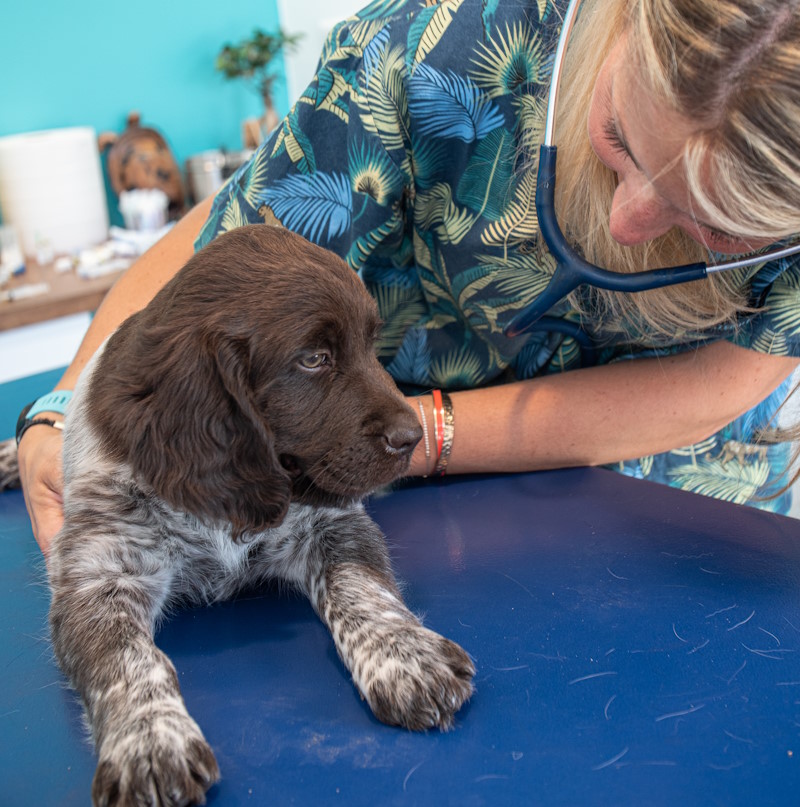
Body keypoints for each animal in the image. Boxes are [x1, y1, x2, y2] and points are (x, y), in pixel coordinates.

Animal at [4, 227, 476, 807]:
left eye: (371, 345)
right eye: (314, 359)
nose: (413, 439)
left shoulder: (332, 525)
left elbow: (361, 589)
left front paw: (407, 656)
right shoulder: (100, 574)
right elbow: (128, 661)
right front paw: (150, 741)